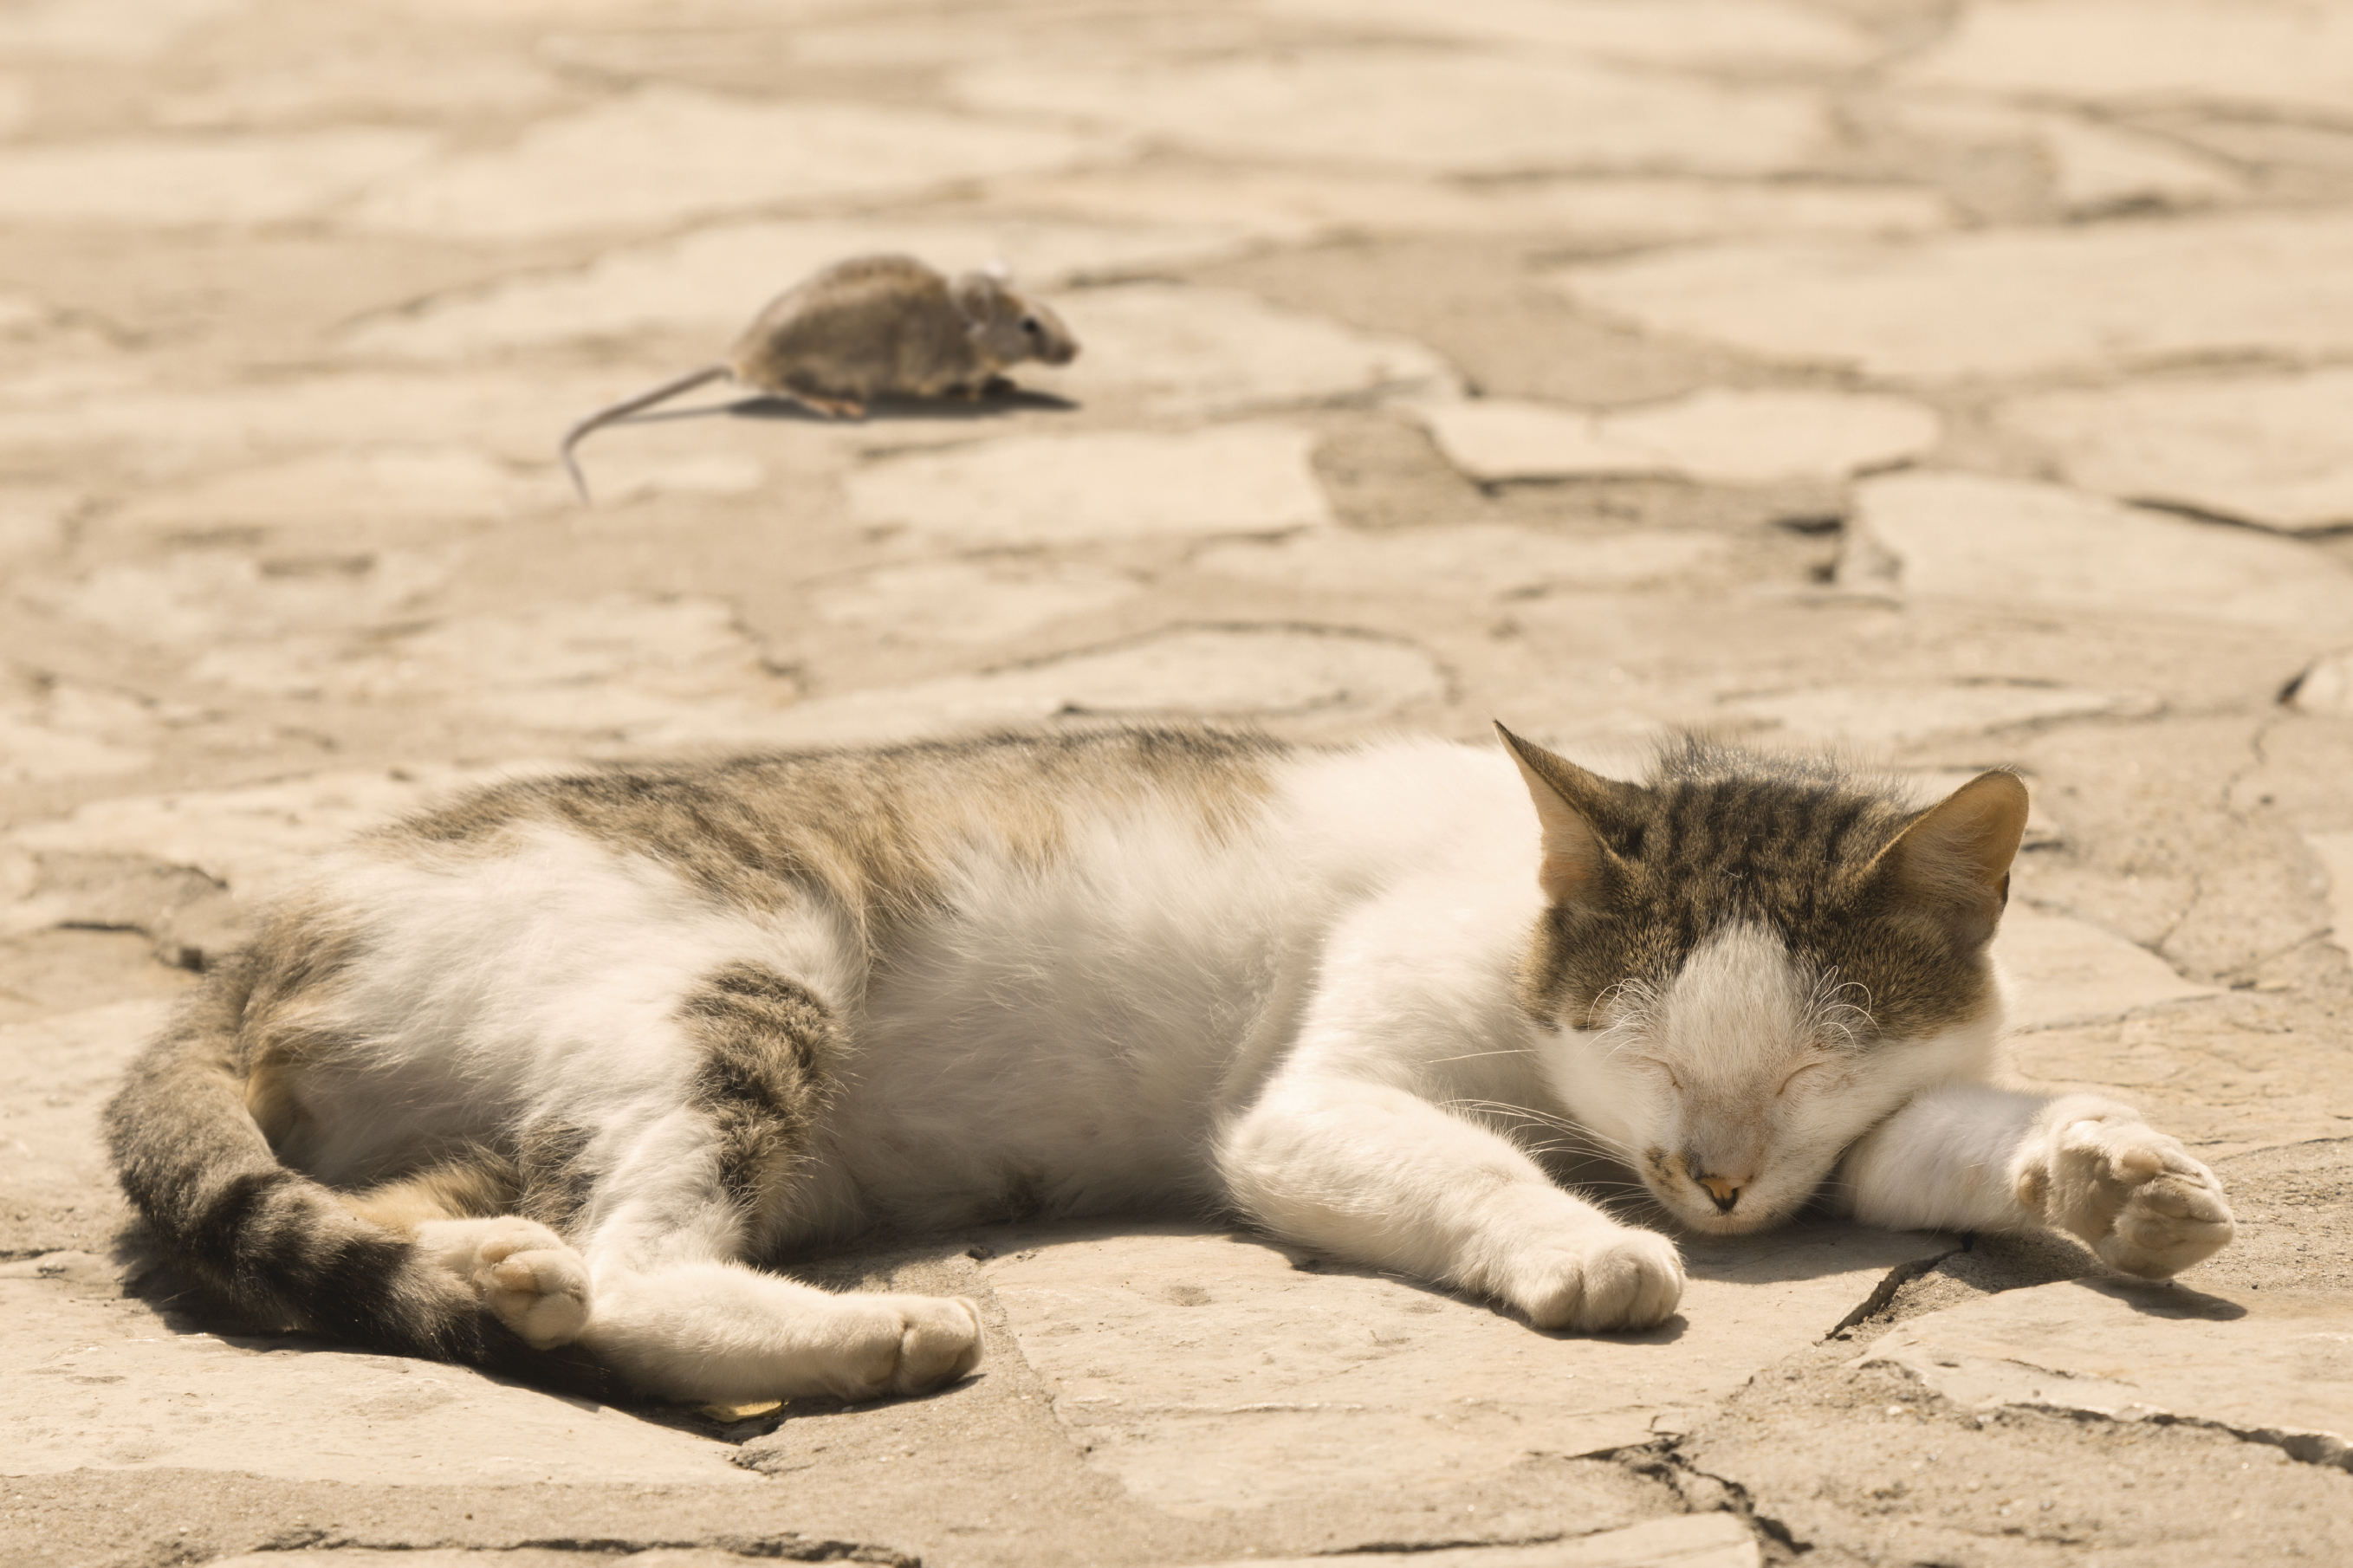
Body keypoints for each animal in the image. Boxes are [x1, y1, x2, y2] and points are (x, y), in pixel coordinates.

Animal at [106, 725, 2240, 1393]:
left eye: (1794, 1076)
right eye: (1639, 1057)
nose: (1710, 1185)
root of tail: (272, 920)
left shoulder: (1858, 1144)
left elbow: (1949, 1136)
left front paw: (2105, 1171)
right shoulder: (1307, 1107)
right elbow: (1472, 1157)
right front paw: (1582, 1246)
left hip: (498, 1117)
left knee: (439, 1236)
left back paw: (502, 1282)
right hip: (740, 972)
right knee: (641, 1256)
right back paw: (864, 1338)